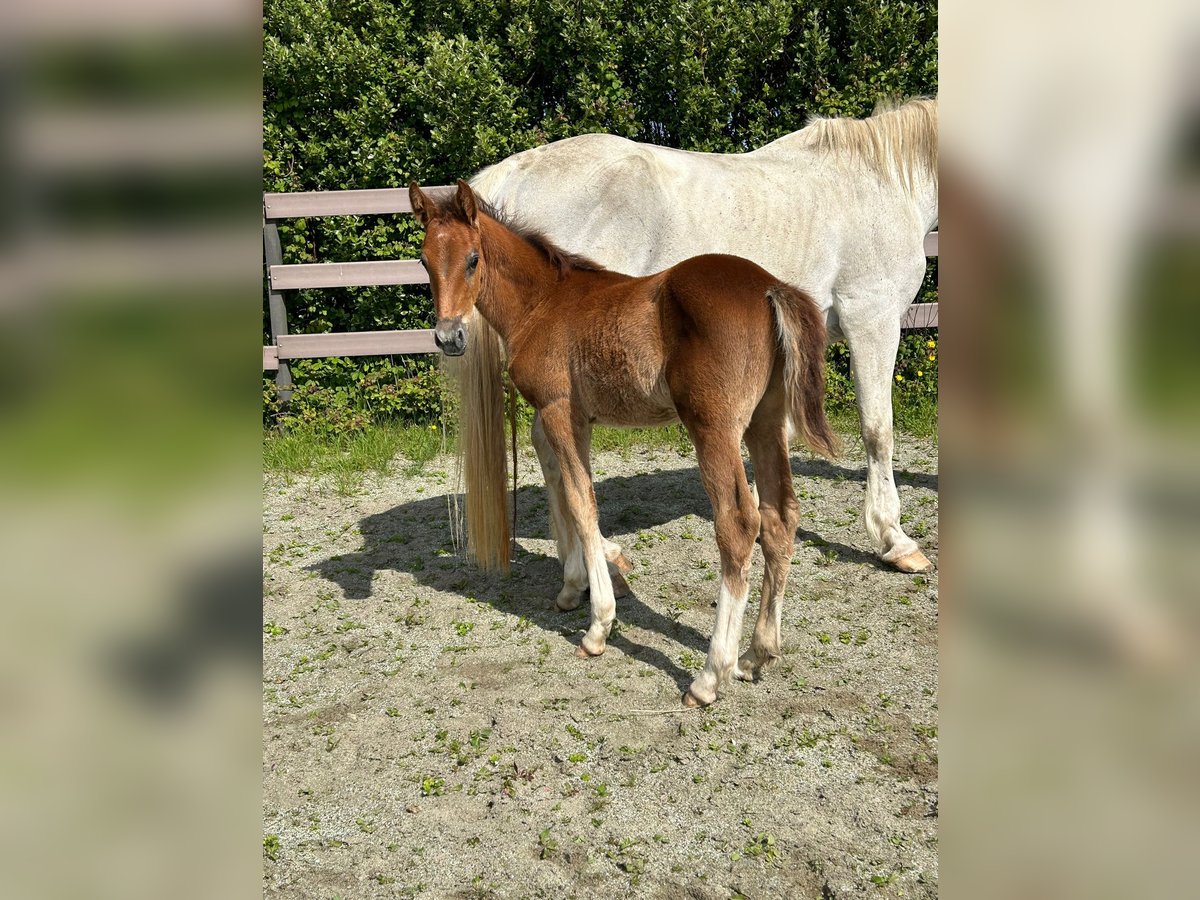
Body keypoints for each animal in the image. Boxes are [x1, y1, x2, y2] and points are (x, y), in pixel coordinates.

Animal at [408, 180, 840, 710]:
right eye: (424, 260)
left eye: (472, 259)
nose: (448, 337)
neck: (542, 302)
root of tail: (768, 287)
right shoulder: (569, 418)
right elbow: (562, 487)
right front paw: (574, 587)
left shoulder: (557, 408)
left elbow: (581, 501)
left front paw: (598, 625)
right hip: (766, 422)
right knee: (781, 517)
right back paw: (757, 654)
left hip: (714, 428)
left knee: (739, 524)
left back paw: (710, 675)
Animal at [458, 100, 936, 592]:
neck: (880, 180)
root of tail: (517, 169)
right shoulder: (872, 319)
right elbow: (878, 429)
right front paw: (895, 539)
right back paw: (597, 561)